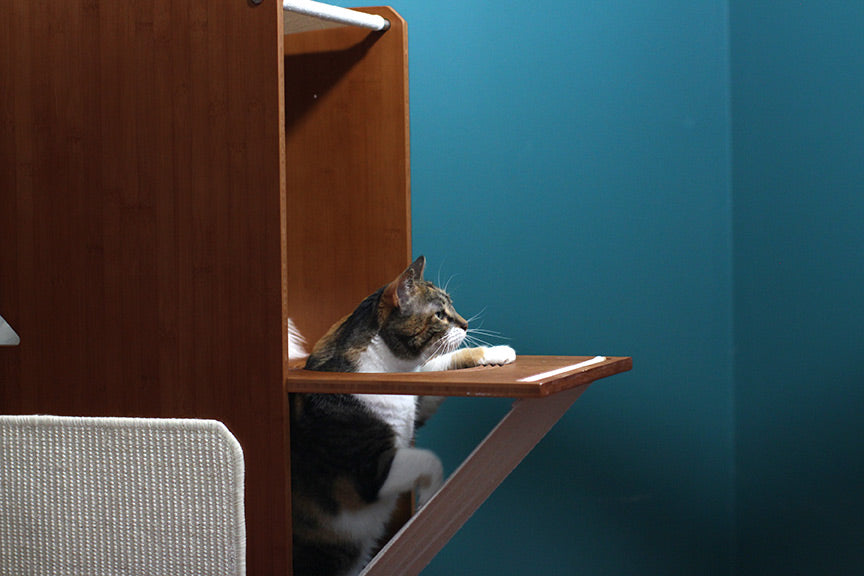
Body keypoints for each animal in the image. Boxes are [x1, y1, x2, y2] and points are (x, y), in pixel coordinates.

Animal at [290, 256, 516, 576]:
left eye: (451, 306)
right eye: (439, 315)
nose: (465, 323)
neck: (388, 370)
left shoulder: (418, 398)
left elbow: (440, 363)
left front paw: (496, 352)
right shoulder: (371, 471)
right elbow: (429, 459)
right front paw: (430, 501)